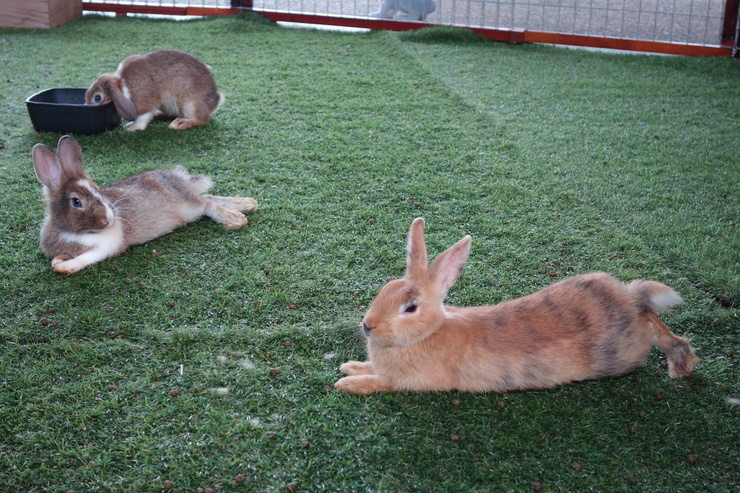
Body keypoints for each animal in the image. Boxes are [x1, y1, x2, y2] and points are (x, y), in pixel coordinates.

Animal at [32, 135, 258, 272]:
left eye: (97, 190)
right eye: (76, 202)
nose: (109, 219)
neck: (71, 232)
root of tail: (180, 179)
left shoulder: (106, 247)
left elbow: (85, 258)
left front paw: (63, 267)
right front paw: (59, 260)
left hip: (188, 205)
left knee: (206, 203)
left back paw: (236, 218)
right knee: (208, 198)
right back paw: (246, 204)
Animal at [85, 49, 224, 132]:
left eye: (97, 97)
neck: (122, 86)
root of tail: (215, 100)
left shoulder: (144, 101)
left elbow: (142, 117)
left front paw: (132, 128)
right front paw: (129, 125)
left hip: (191, 104)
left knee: (201, 120)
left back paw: (180, 124)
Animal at [336, 217, 700, 394]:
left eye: (410, 307)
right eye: (385, 288)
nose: (367, 326)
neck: (428, 333)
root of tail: (629, 299)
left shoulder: (410, 382)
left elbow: (383, 383)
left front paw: (348, 385)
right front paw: (350, 367)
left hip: (623, 351)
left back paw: (679, 365)